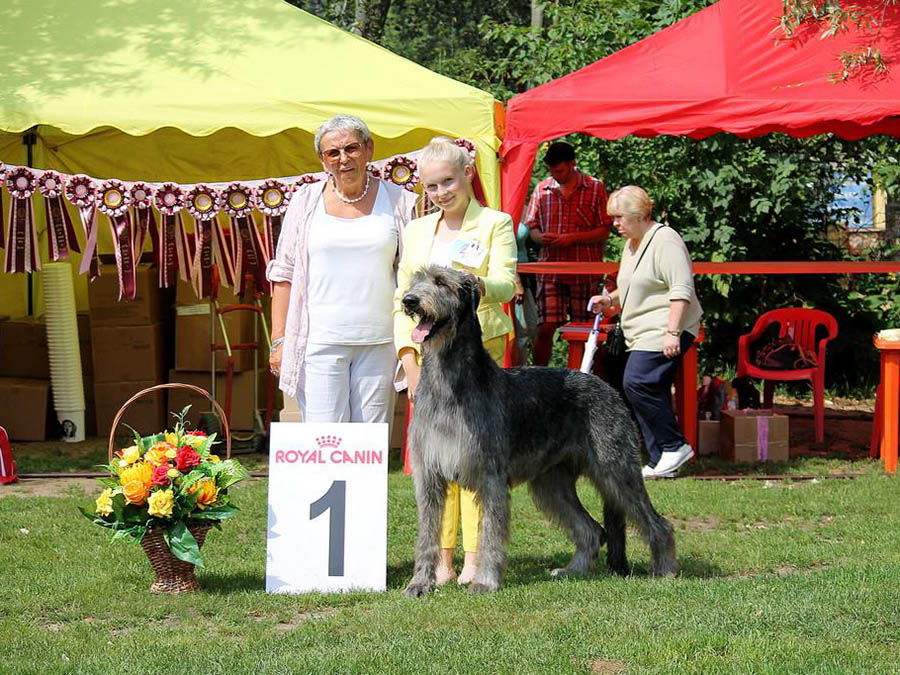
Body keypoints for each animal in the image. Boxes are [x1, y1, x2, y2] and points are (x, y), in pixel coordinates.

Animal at [400, 266, 676, 596]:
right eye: (416, 280)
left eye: (441, 282)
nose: (409, 301)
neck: (448, 383)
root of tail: (607, 386)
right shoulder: (429, 475)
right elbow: (428, 534)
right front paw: (420, 583)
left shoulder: (490, 477)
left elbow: (490, 532)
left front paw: (484, 580)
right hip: (551, 483)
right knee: (591, 530)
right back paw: (573, 570)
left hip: (616, 468)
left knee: (656, 521)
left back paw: (664, 569)